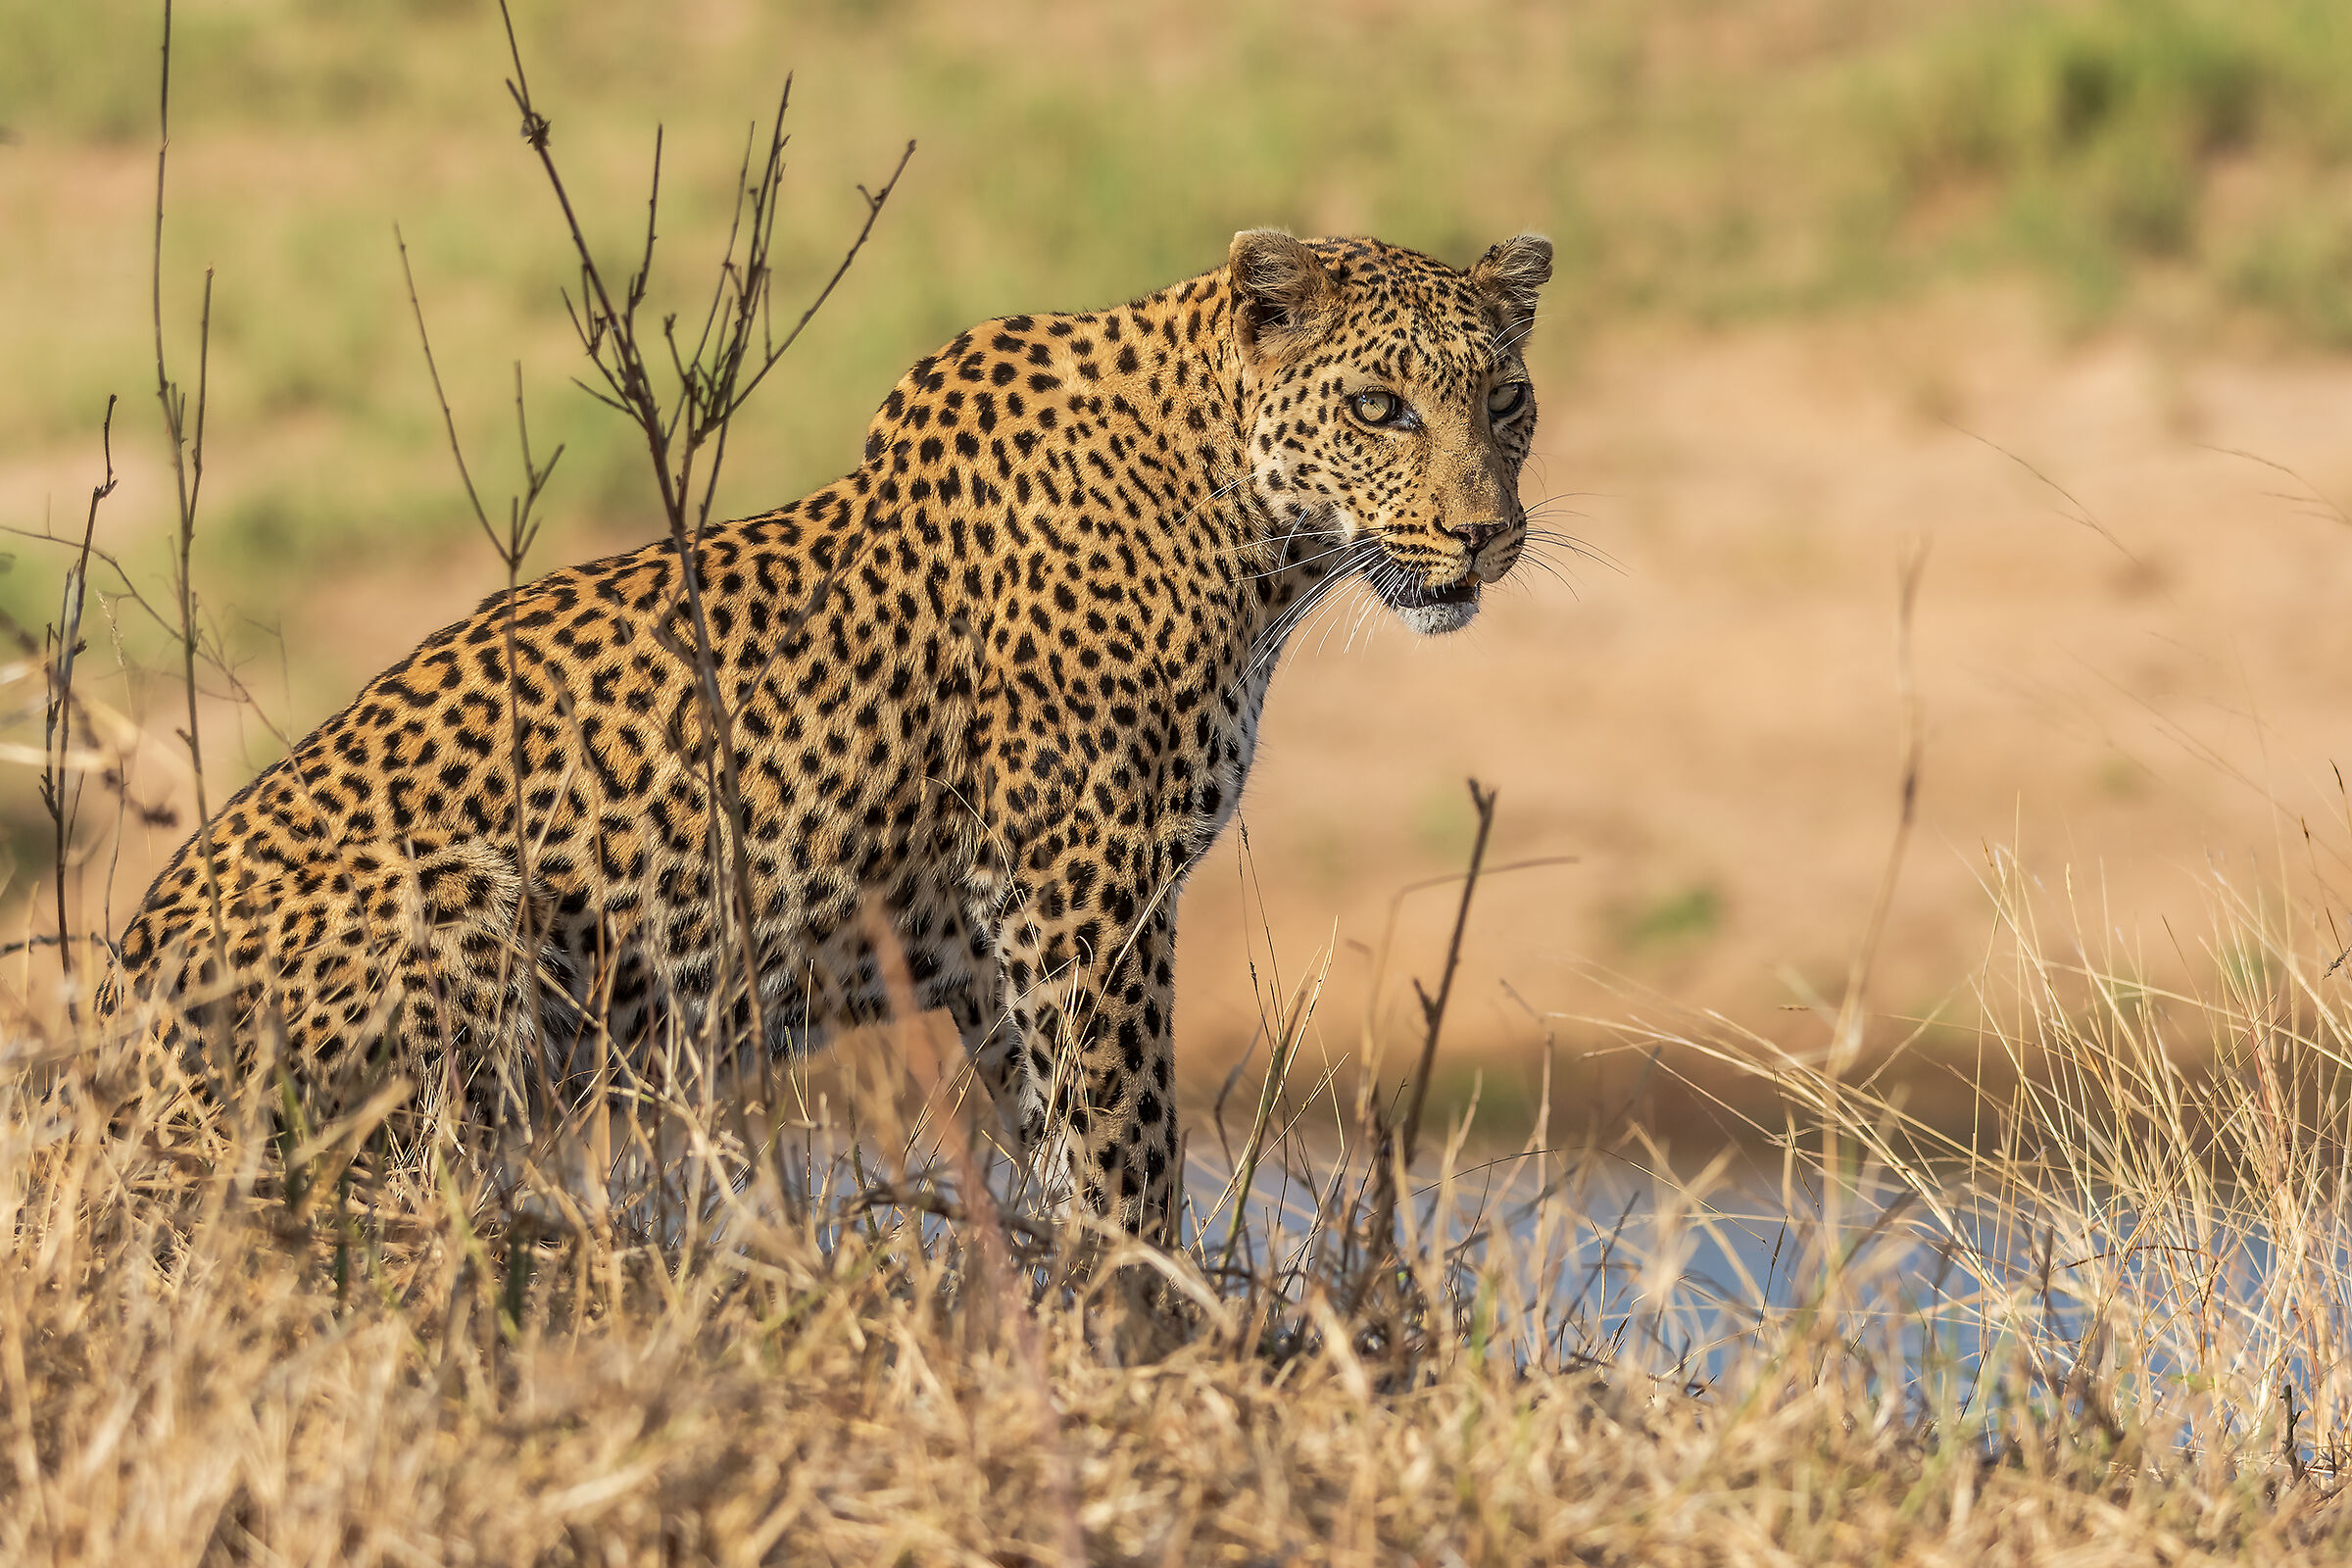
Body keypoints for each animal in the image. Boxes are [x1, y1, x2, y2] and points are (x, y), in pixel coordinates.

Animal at [103, 228, 1556, 1236]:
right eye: (1379, 408)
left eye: (1508, 404)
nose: (1488, 533)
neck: (1258, 542)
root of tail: (107, 1070)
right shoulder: (1083, 884)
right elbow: (1128, 1140)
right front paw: (1166, 1331)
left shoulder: (998, 942)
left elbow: (1063, 1135)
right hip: (458, 907)